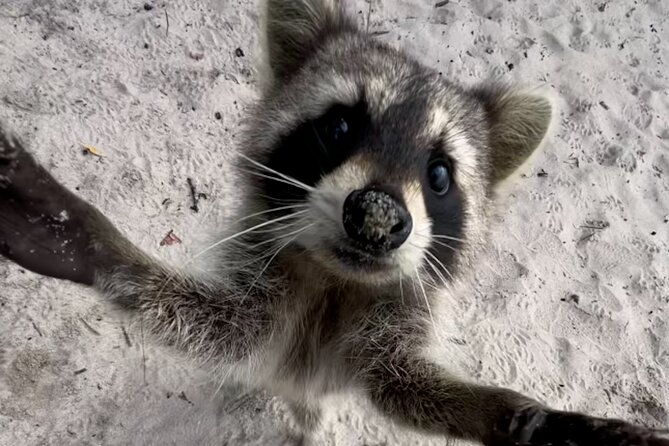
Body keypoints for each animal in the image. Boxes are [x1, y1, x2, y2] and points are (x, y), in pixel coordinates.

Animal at [0, 1, 667, 445]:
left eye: (440, 175)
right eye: (340, 126)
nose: (377, 218)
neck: (337, 280)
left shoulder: (399, 315)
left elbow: (405, 386)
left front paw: (520, 417)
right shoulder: (262, 271)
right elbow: (225, 328)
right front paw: (105, 250)